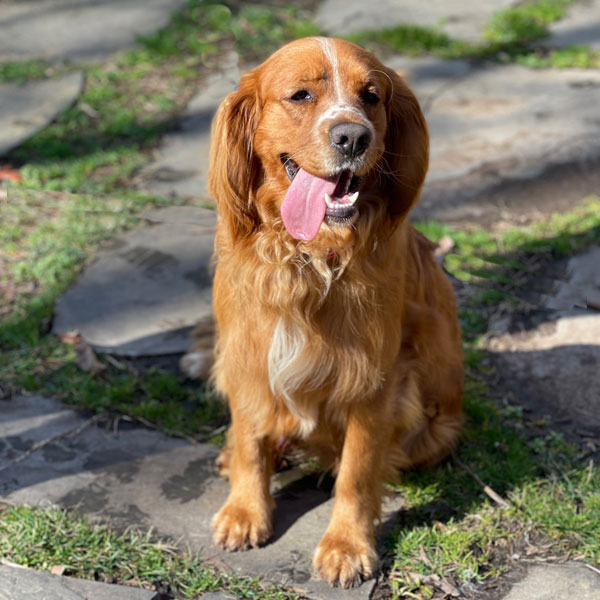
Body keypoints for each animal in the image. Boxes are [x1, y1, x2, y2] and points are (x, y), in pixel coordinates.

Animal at [206, 38, 464, 592]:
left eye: (372, 96)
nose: (352, 136)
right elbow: (251, 440)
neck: (309, 258)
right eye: (301, 95)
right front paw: (245, 510)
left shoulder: (373, 383)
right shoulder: (246, 357)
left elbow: (357, 474)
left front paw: (347, 545)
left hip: (434, 430)